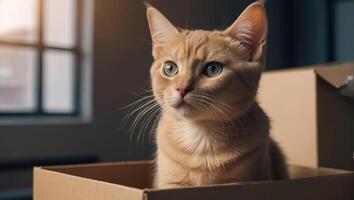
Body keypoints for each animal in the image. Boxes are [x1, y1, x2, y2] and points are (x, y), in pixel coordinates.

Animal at [145, 1, 288, 189]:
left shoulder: (245, 179)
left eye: (212, 69)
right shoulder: (170, 184)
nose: (182, 88)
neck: (201, 136)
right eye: (170, 68)